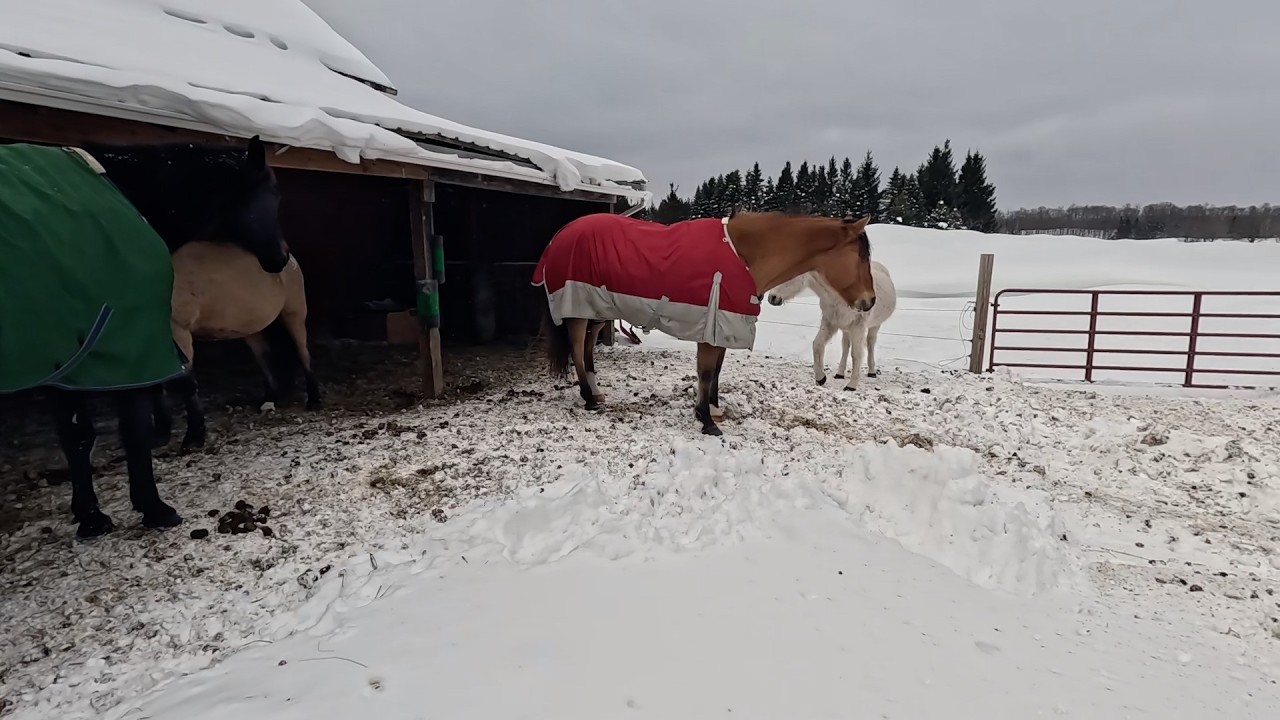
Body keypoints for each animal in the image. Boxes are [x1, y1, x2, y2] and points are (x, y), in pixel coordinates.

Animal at [0, 137, 284, 538]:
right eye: (274, 196)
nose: (281, 258)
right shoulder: (119, 352)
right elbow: (132, 430)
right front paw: (153, 508)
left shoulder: (68, 366)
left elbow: (78, 438)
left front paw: (91, 517)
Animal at [83, 138, 318, 450]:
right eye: (272, 195)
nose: (280, 258)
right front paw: (162, 433)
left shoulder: (177, 329)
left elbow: (184, 381)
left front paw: (194, 436)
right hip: (251, 329)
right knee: (265, 357)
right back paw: (270, 398)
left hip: (294, 315)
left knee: (303, 352)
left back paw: (314, 399)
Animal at [532, 211, 877, 436]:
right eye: (861, 257)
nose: (870, 301)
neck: (744, 257)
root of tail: (561, 234)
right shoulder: (712, 326)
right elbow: (707, 372)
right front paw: (706, 421)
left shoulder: (721, 326)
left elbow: (716, 373)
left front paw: (712, 409)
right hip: (577, 308)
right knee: (577, 348)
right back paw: (589, 399)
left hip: (596, 308)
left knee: (588, 349)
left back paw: (595, 391)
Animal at [767, 260, 898, 391]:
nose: (771, 298)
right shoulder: (830, 322)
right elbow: (817, 345)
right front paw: (820, 378)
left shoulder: (858, 326)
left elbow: (856, 354)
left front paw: (851, 385)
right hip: (846, 329)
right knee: (845, 346)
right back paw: (840, 373)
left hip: (874, 326)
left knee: (870, 343)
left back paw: (872, 372)